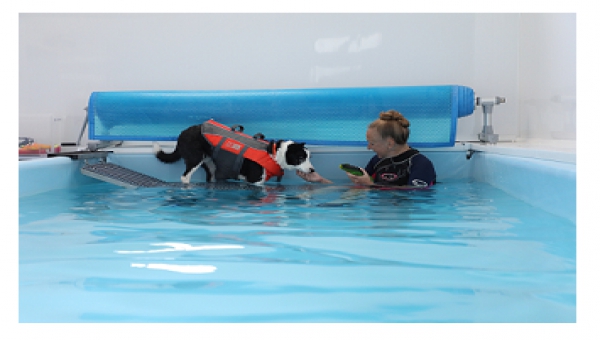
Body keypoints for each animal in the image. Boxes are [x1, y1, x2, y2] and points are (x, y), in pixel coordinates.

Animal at [152, 120, 316, 186]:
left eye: (308, 157)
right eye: (301, 157)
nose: (312, 170)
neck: (274, 153)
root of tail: (182, 134)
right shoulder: (254, 180)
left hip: (210, 166)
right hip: (194, 159)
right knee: (185, 176)